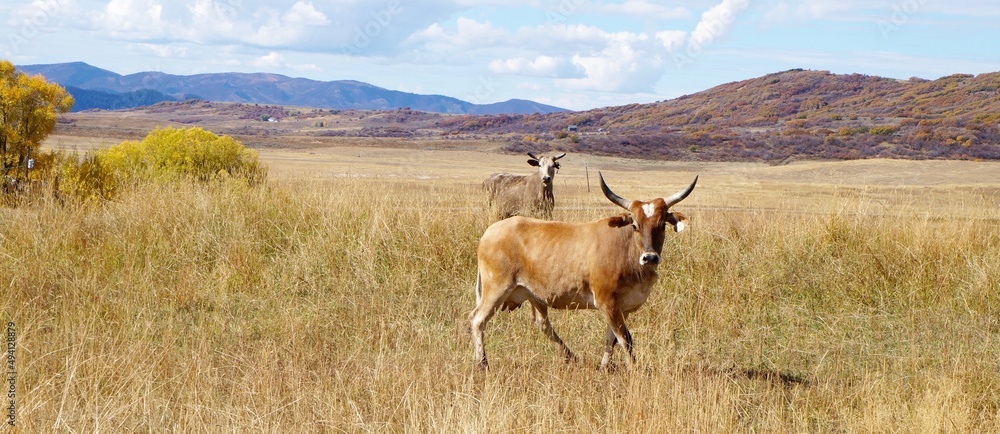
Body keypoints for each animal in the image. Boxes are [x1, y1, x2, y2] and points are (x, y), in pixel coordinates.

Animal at [470, 172, 698, 370]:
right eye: (634, 225)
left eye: (662, 225)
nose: (650, 257)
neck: (627, 252)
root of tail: (491, 231)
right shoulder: (607, 303)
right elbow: (626, 339)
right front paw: (635, 368)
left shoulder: (620, 308)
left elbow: (611, 338)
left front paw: (605, 366)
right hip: (496, 289)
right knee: (478, 320)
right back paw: (482, 363)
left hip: (533, 295)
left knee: (542, 324)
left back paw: (571, 356)